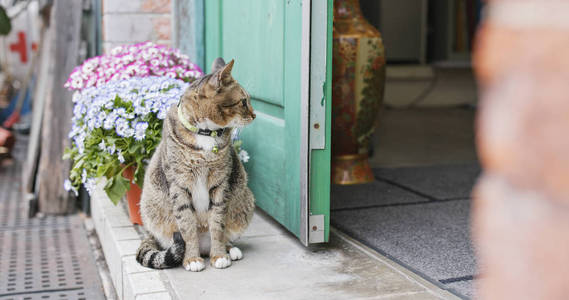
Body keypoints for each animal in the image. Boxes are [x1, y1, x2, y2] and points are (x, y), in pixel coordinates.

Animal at [135, 57, 255, 270]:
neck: (205, 132)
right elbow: (187, 227)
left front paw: (219, 255)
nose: (255, 114)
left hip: (245, 200)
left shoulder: (220, 184)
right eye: (243, 102)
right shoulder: (178, 185)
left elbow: (217, 224)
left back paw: (229, 250)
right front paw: (191, 259)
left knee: (225, 234)